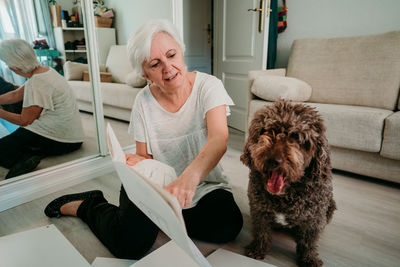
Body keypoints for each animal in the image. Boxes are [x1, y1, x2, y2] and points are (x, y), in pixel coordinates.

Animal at [242, 99, 336, 266]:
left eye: (298, 138)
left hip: (331, 206)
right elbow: (262, 232)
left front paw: (309, 259)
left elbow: (309, 241)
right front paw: (258, 249)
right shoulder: (259, 209)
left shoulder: (314, 218)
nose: (273, 160)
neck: (286, 195)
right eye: (268, 130)